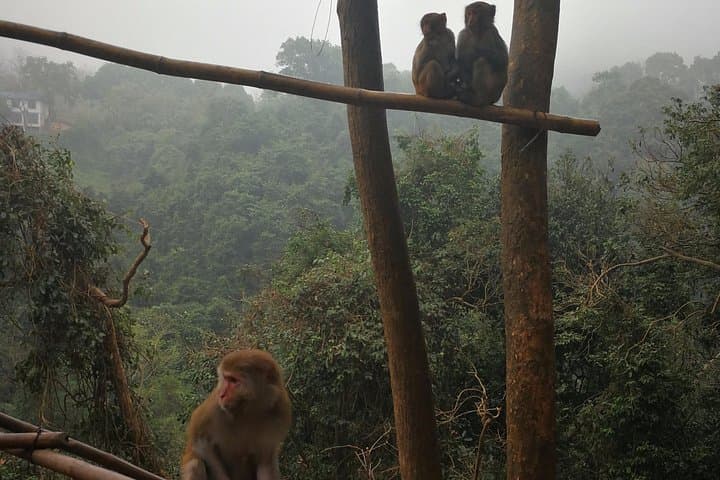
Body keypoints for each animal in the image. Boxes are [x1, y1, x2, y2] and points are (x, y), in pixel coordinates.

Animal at [181, 349, 292, 480]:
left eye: (233, 380)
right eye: (225, 378)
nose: (222, 394)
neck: (248, 409)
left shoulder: (279, 412)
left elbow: (266, 461)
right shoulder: (214, 407)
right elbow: (201, 443)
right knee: (195, 464)